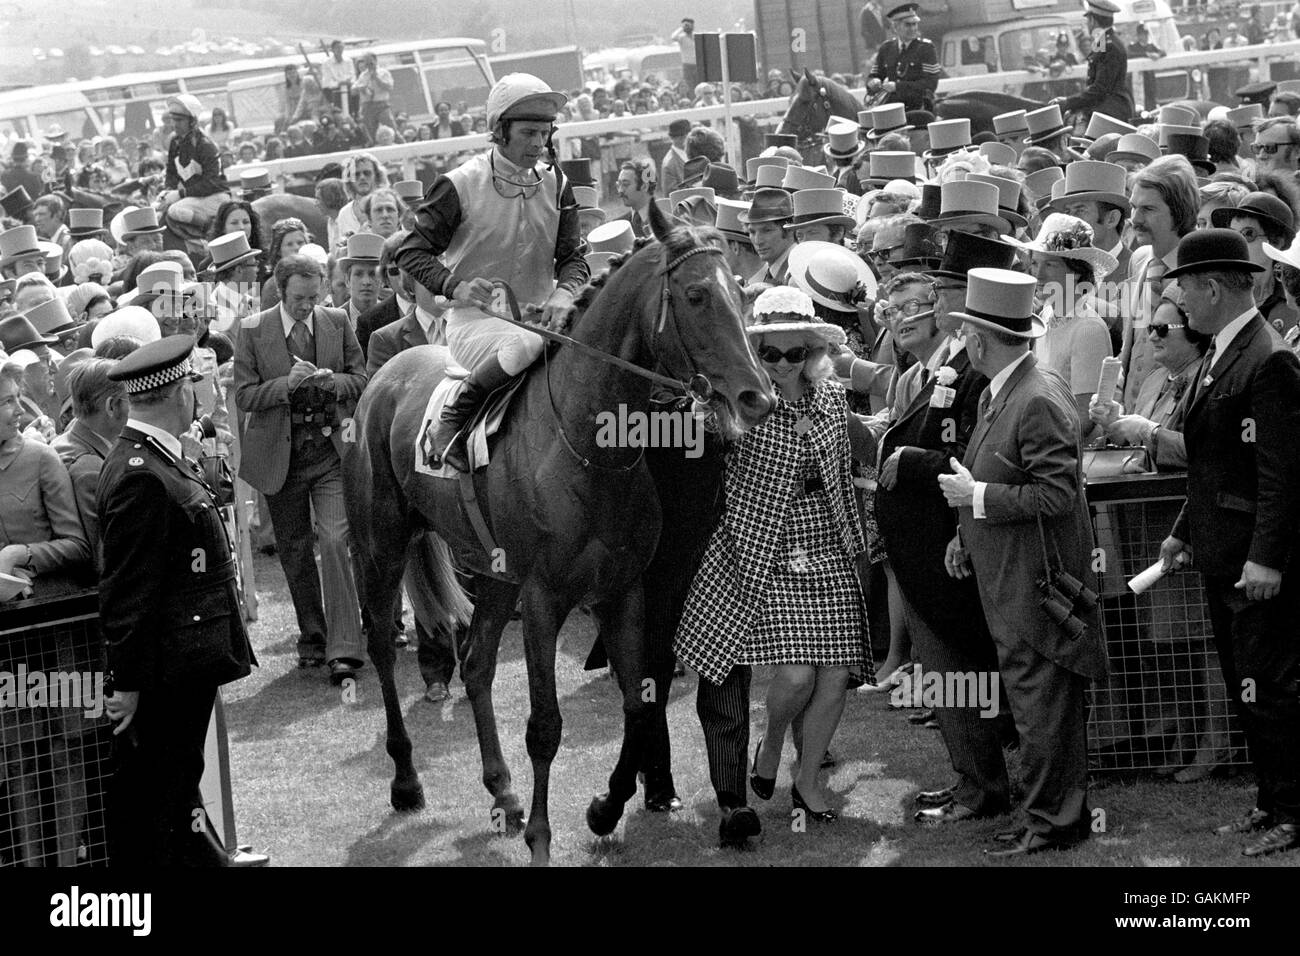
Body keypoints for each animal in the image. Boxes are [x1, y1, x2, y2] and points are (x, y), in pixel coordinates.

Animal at [343, 200, 769, 868]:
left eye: (745, 294)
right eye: (697, 294)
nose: (758, 396)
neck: (588, 448)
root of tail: (386, 372)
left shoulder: (622, 590)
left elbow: (638, 700)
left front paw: (604, 808)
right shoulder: (545, 598)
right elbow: (545, 726)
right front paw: (544, 839)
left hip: (493, 574)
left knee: (477, 664)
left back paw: (504, 794)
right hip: (381, 549)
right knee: (384, 646)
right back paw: (407, 782)